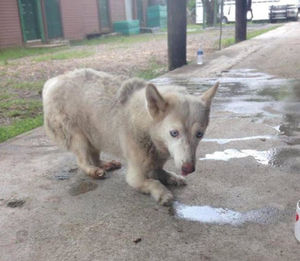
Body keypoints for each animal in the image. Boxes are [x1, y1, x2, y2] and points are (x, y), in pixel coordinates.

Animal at [42, 69, 218, 205]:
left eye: (199, 134)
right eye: (174, 133)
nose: (188, 169)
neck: (147, 128)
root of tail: (52, 81)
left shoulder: (155, 164)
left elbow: (162, 173)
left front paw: (173, 177)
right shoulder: (135, 177)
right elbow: (153, 182)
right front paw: (163, 193)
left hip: (97, 134)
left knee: (95, 156)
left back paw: (105, 164)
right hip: (79, 139)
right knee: (83, 162)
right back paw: (94, 171)